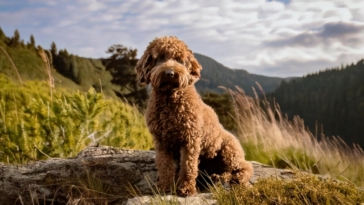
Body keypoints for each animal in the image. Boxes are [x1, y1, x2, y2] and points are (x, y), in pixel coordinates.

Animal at [135, 36, 252, 196]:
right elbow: (165, 165)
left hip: (230, 151)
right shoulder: (161, 141)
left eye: (179, 59)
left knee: (245, 167)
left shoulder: (190, 139)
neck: (170, 99)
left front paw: (186, 188)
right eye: (159, 58)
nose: (170, 73)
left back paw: (233, 178)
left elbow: (187, 167)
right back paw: (218, 177)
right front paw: (164, 187)